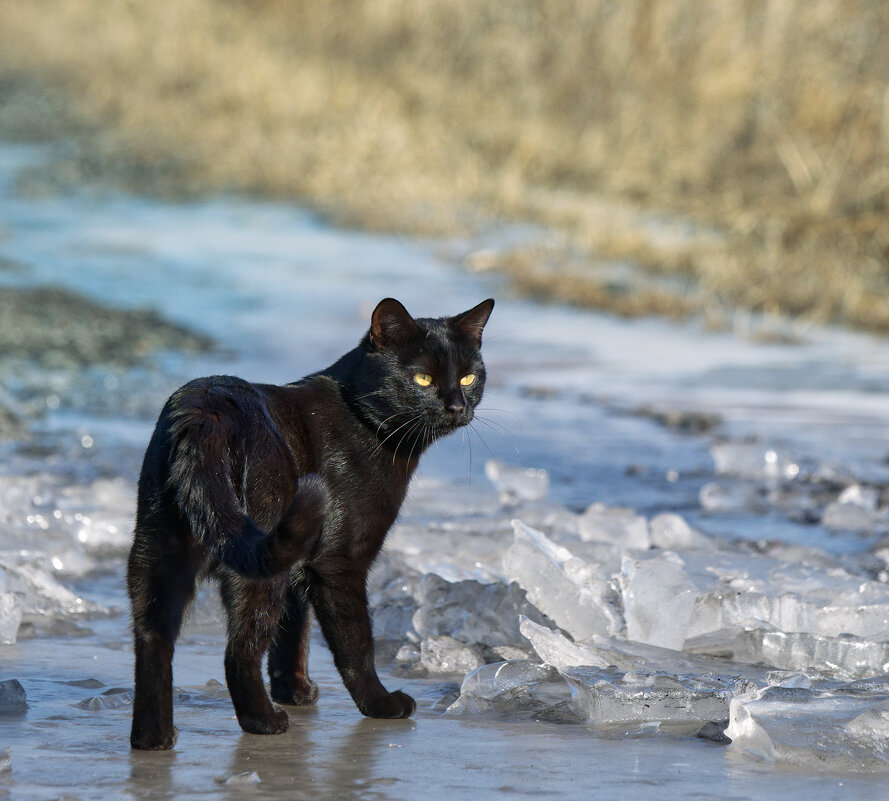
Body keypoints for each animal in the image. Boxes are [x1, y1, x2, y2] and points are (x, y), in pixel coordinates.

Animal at [126, 296, 492, 748]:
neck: (364, 424)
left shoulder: (301, 565)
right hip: (260, 557)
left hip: (159, 551)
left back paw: (153, 737)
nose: (457, 406)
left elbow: (293, 632)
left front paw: (295, 689)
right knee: (239, 650)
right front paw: (381, 704)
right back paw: (265, 721)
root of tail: (207, 412)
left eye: (469, 376)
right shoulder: (337, 561)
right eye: (422, 378)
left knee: (153, 640)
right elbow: (355, 640)